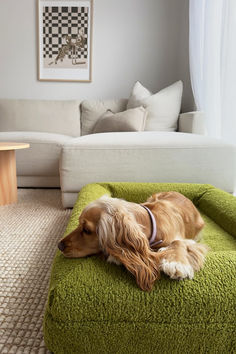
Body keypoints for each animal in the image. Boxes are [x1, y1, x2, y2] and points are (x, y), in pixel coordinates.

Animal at [58, 192, 207, 292]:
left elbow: (178, 242)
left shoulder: (188, 241)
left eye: (87, 230)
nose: (59, 245)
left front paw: (176, 263)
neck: (153, 222)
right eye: (78, 224)